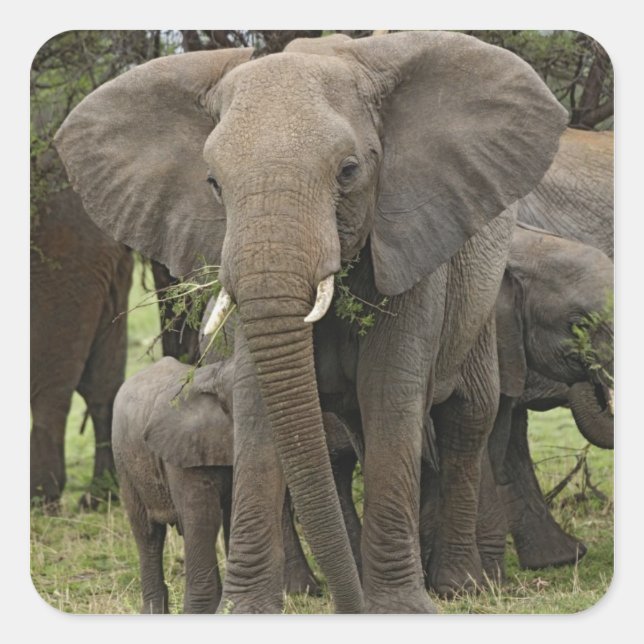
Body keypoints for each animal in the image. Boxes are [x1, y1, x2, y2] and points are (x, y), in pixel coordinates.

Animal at [54, 31, 567, 612]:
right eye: (213, 183)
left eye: (349, 171)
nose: (352, 607)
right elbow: (259, 402)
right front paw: (250, 610)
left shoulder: (410, 245)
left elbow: (389, 391)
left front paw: (399, 609)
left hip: (481, 289)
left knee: (467, 418)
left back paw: (459, 586)